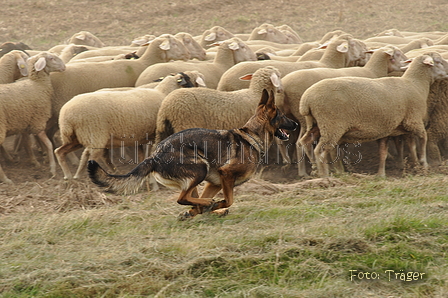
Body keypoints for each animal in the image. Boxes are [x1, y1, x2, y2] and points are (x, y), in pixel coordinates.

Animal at [0, 52, 65, 183]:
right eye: (51, 58)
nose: (64, 67)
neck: (38, 85)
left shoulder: (26, 122)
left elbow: (27, 143)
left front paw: (35, 161)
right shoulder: (38, 123)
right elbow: (49, 144)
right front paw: (52, 169)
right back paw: (6, 179)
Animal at [53, 71, 204, 180]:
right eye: (188, 81)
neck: (163, 92)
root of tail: (66, 115)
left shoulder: (141, 136)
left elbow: (143, 155)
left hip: (77, 138)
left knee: (60, 151)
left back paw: (71, 176)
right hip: (94, 134)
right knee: (89, 155)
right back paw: (83, 176)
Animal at [87, 89, 298, 219]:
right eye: (282, 115)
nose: (296, 124)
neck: (251, 135)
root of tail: (154, 156)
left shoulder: (215, 183)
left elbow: (215, 202)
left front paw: (206, 209)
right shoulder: (226, 174)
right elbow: (229, 200)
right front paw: (217, 204)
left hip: (197, 176)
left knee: (190, 199)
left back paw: (203, 208)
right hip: (199, 168)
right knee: (182, 198)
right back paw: (208, 205)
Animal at [300, 51, 448, 177]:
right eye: (438, 61)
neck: (415, 84)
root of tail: (306, 99)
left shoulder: (390, 129)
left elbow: (386, 152)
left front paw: (383, 174)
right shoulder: (414, 120)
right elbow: (423, 139)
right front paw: (424, 164)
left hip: (315, 123)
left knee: (305, 142)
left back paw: (315, 169)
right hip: (332, 125)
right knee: (320, 150)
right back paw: (325, 175)